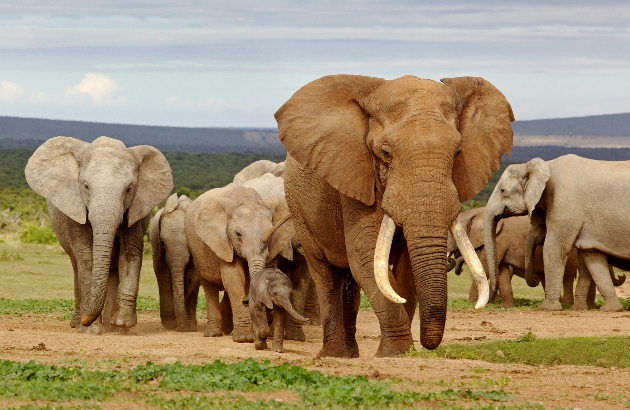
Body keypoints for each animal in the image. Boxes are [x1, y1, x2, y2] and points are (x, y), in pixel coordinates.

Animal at [24, 135, 173, 334]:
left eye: (129, 189)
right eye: (86, 186)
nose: (86, 320)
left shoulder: (135, 210)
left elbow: (130, 254)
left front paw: (122, 325)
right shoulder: (76, 210)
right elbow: (87, 258)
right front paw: (91, 330)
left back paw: (111, 327)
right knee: (76, 264)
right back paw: (79, 323)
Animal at [149, 194, 200, 332]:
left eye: (189, 244)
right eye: (163, 243)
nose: (182, 328)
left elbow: (193, 277)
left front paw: (190, 327)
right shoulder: (157, 246)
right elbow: (163, 275)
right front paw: (170, 324)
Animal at [184, 184, 296, 342]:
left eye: (270, 234)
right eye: (238, 234)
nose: (246, 301)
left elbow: (246, 280)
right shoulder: (225, 242)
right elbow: (233, 278)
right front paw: (244, 338)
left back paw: (226, 329)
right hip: (197, 251)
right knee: (209, 286)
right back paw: (213, 333)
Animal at [274, 73, 516, 356]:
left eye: (457, 153)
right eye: (385, 153)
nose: (428, 345)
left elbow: (405, 266)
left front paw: (400, 351)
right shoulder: (356, 179)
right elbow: (366, 255)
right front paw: (398, 352)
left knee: (349, 279)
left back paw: (352, 354)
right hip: (298, 208)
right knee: (326, 273)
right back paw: (334, 355)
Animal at [486, 155, 630, 312]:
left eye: (502, 190)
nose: (535, 279)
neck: (544, 166)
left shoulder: (564, 205)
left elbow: (554, 248)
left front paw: (547, 308)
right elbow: (593, 258)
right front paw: (608, 309)